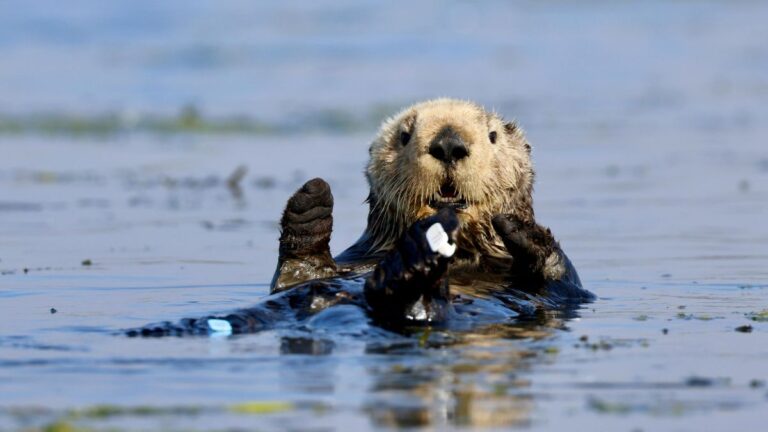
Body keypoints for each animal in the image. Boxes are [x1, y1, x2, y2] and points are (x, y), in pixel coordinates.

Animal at [128, 99, 593, 337]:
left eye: (493, 136)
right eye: (405, 135)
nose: (448, 143)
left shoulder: (564, 292)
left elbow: (561, 280)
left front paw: (522, 228)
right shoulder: (355, 259)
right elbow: (296, 274)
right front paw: (311, 203)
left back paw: (411, 271)